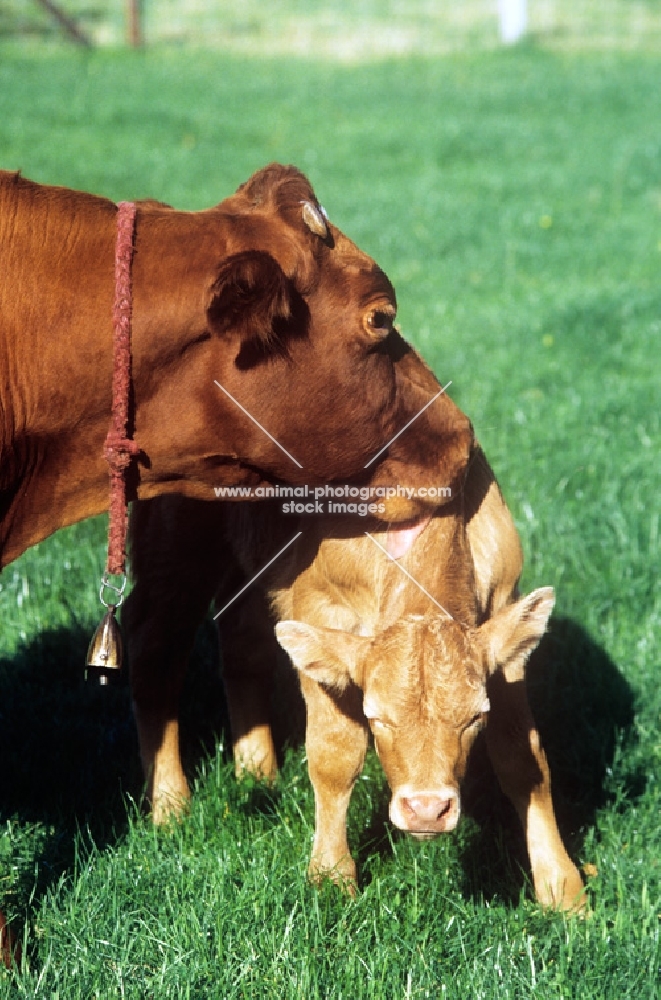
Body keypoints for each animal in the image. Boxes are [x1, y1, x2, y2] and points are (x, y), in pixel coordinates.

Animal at [126, 446, 584, 916]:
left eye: (476, 718)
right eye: (376, 718)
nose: (426, 810)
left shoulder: (506, 627)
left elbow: (523, 760)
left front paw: (562, 889)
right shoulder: (319, 610)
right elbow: (335, 757)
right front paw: (331, 877)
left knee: (241, 643)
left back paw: (256, 771)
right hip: (175, 547)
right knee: (154, 650)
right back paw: (170, 805)